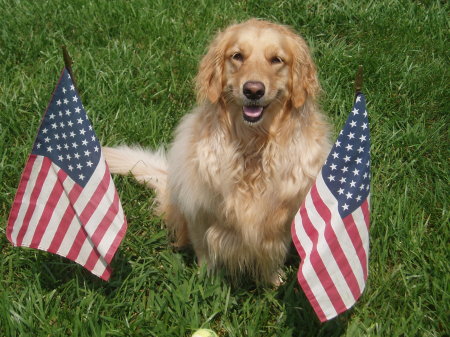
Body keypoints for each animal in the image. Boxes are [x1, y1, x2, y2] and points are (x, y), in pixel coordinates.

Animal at [105, 18, 330, 284]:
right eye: (237, 56)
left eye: (277, 59)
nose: (253, 90)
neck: (252, 145)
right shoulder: (199, 212)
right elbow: (205, 254)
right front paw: (207, 282)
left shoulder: (283, 217)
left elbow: (274, 254)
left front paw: (273, 280)